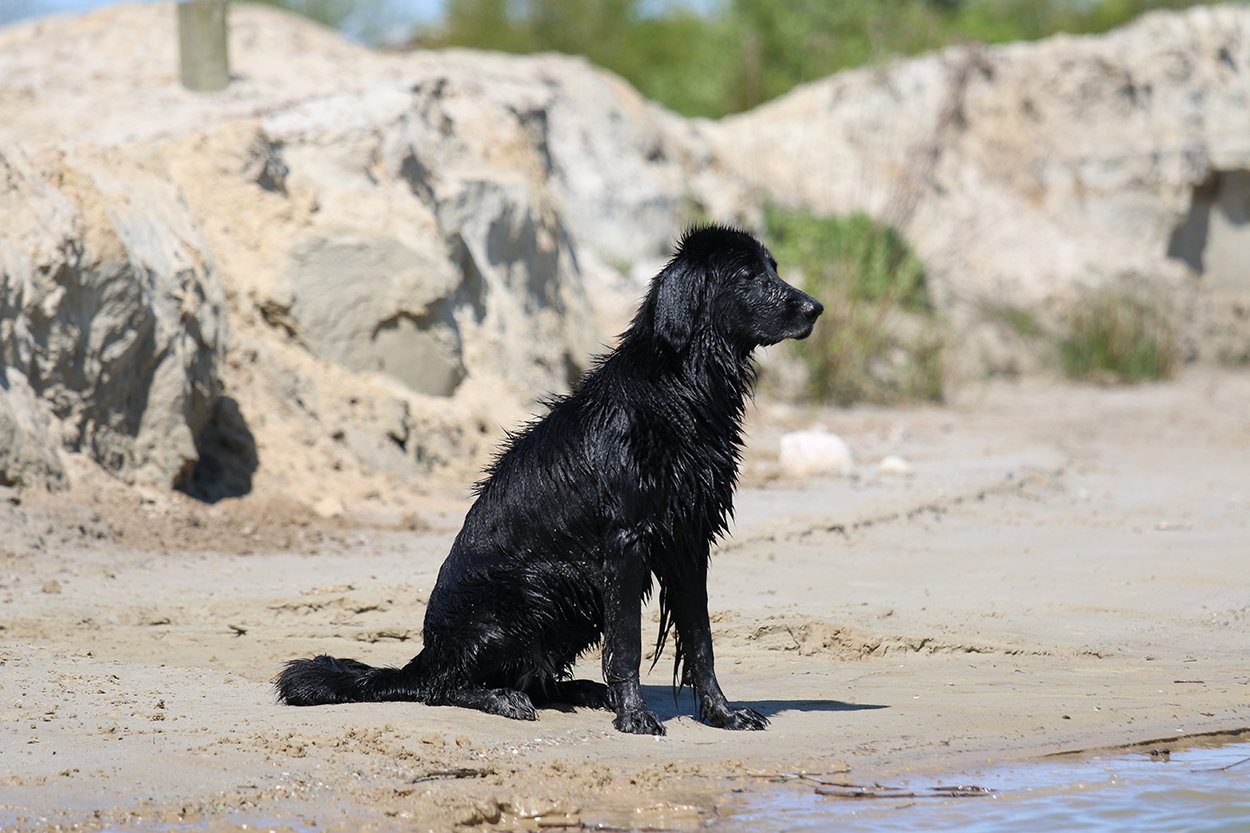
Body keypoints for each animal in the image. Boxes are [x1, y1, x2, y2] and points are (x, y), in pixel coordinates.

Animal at [276, 225, 823, 735]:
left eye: (773, 268)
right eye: (748, 275)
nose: (816, 308)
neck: (681, 390)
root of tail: (426, 655)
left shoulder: (688, 542)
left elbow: (702, 641)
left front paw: (723, 714)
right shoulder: (626, 544)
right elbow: (627, 644)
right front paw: (634, 716)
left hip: (568, 603)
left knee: (531, 677)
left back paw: (582, 690)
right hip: (529, 594)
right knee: (443, 687)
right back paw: (504, 698)